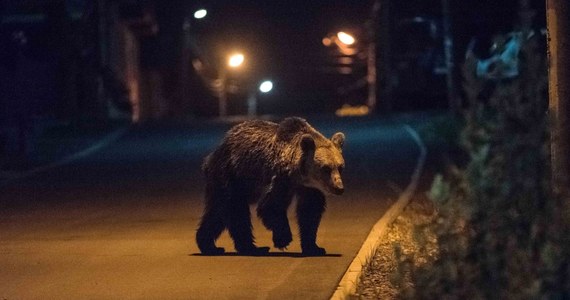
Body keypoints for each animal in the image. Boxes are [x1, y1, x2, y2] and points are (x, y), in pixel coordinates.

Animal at [195, 116, 346, 255]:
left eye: (340, 167)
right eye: (325, 168)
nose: (339, 188)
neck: (299, 174)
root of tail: (212, 154)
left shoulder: (309, 187)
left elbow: (310, 210)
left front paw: (314, 247)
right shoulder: (281, 178)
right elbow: (271, 205)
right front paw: (283, 239)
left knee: (218, 212)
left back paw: (210, 245)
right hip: (230, 175)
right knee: (235, 209)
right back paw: (251, 248)